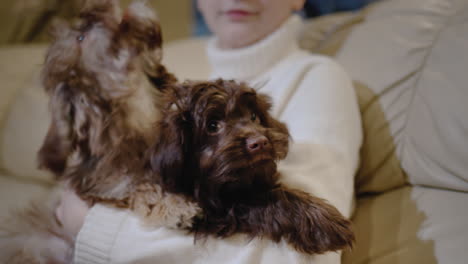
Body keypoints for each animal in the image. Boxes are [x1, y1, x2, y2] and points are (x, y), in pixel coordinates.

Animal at [153, 80, 354, 254]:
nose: (260, 142)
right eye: (212, 126)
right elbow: (267, 198)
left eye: (254, 116)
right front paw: (323, 224)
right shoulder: (216, 212)